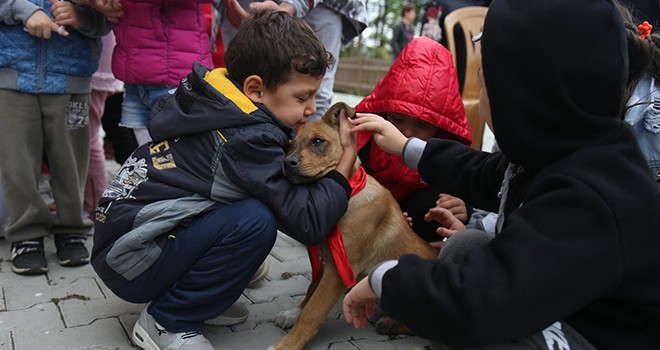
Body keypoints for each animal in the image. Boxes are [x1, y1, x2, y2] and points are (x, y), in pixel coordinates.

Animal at [270, 102, 440, 348]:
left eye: (317, 141)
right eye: (289, 145)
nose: (287, 163)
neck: (346, 193)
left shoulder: (338, 270)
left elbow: (312, 312)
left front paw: (285, 344)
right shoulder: (327, 261)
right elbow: (311, 293)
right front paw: (292, 313)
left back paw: (392, 324)